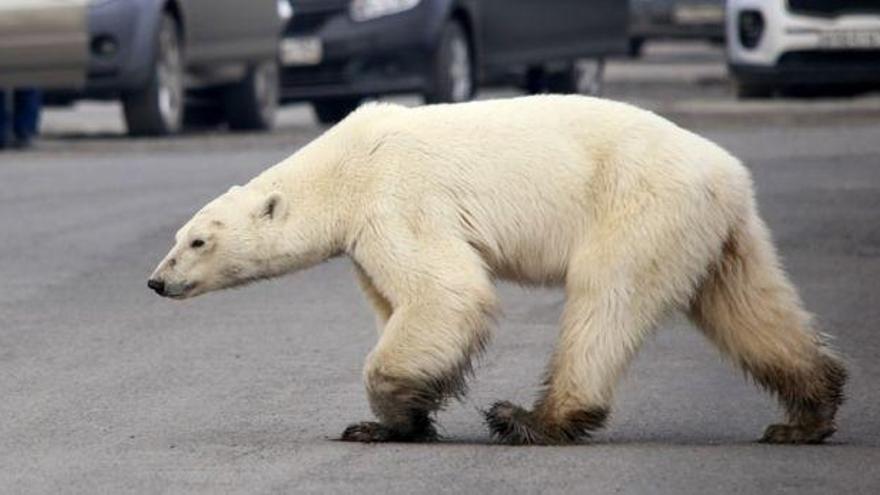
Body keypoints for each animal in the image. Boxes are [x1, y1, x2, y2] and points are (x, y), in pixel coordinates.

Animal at [150, 96, 844, 446]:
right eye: (178, 237)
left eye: (198, 240)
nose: (156, 281)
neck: (341, 165)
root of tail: (728, 173)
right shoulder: (366, 233)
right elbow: (397, 301)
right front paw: (396, 421)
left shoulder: (396, 197)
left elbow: (445, 292)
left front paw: (386, 414)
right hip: (717, 231)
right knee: (748, 306)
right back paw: (805, 415)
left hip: (639, 205)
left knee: (605, 298)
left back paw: (533, 418)